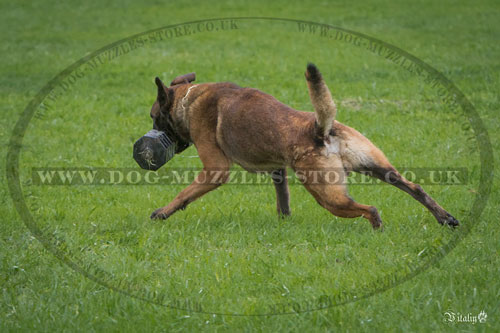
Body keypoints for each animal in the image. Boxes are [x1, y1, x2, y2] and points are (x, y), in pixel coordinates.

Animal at [146, 63, 458, 228]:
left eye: (153, 117)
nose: (151, 137)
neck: (190, 99)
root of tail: (321, 129)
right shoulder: (278, 170)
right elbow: (283, 200)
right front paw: (284, 224)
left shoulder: (215, 169)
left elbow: (185, 193)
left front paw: (162, 212)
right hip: (377, 167)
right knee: (415, 188)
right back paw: (445, 218)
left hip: (327, 195)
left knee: (370, 208)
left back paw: (378, 229)